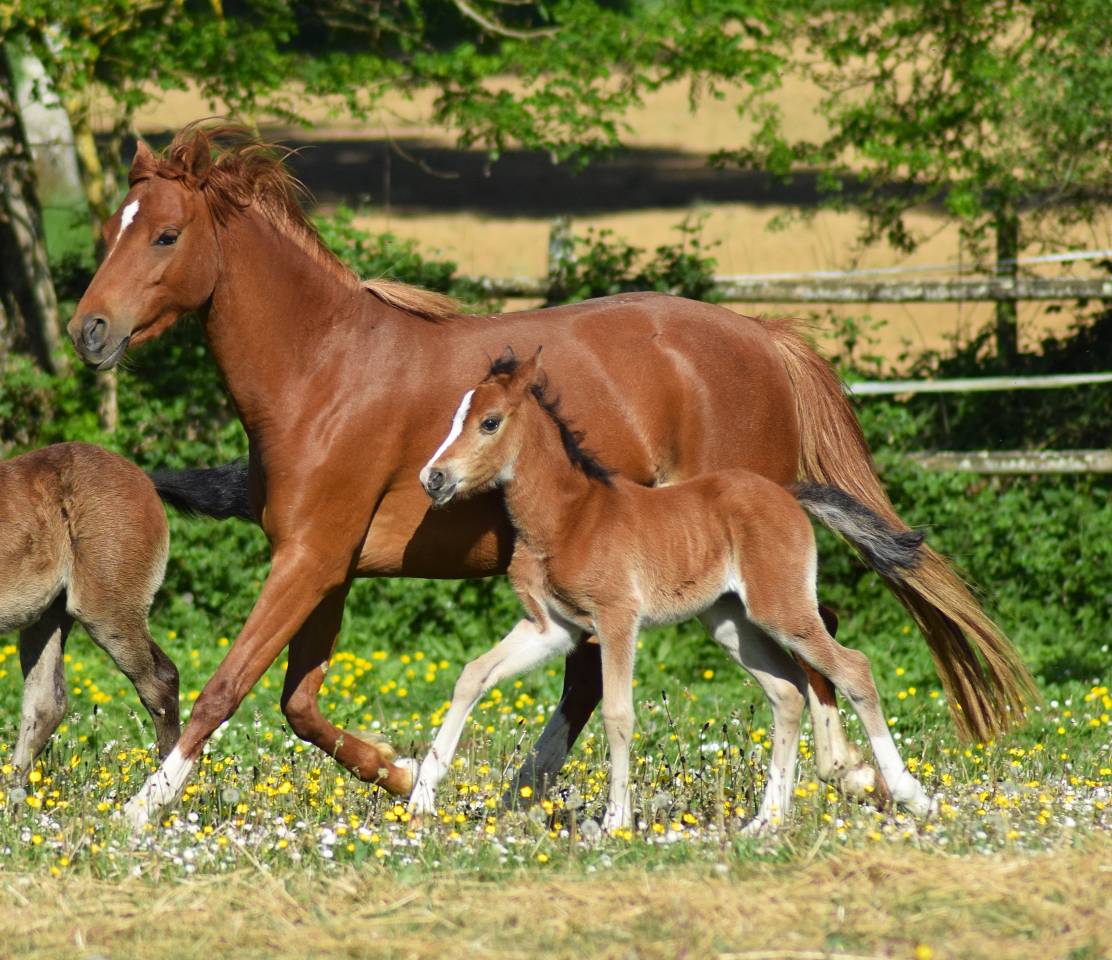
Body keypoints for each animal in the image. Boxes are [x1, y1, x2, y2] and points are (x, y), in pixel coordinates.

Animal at [409, 350, 933, 830]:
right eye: (455, 418)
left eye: (490, 422)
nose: (432, 477)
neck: (569, 517)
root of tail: (788, 493)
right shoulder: (552, 627)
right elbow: (473, 675)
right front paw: (421, 797)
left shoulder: (616, 618)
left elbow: (618, 714)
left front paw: (616, 821)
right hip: (728, 621)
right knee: (787, 690)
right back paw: (766, 820)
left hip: (780, 608)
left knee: (853, 669)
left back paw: (912, 795)